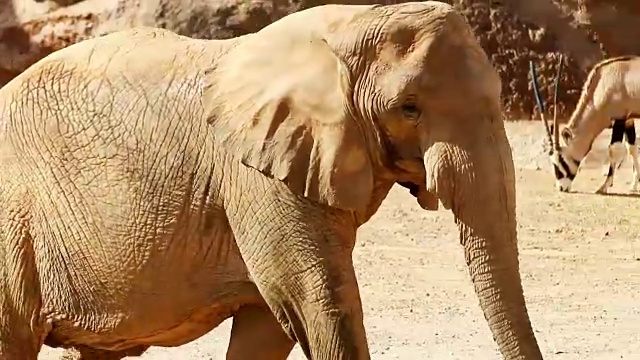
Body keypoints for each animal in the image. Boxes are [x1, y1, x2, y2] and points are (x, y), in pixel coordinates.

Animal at [528, 54, 640, 193]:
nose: (561, 187)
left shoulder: (619, 118)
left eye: (561, 160)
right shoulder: (629, 119)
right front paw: (634, 184)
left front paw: (603, 186)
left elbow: (613, 150)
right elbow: (632, 148)